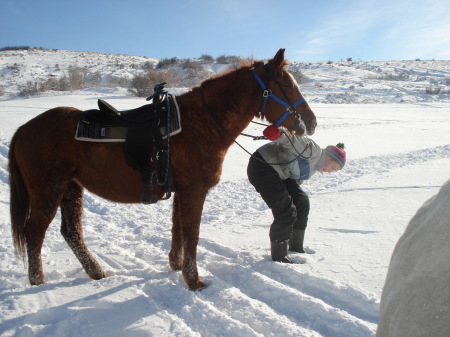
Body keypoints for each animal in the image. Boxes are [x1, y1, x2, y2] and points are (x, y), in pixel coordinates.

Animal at [7, 48, 316, 290]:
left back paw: (97, 273)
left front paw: (177, 266)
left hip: (70, 189)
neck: (201, 123)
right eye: (287, 85)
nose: (311, 122)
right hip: (48, 191)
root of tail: (24, 128)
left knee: (71, 232)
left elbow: (178, 229)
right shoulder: (194, 191)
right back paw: (38, 283)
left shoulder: (181, 192)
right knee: (34, 232)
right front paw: (194, 281)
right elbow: (192, 234)